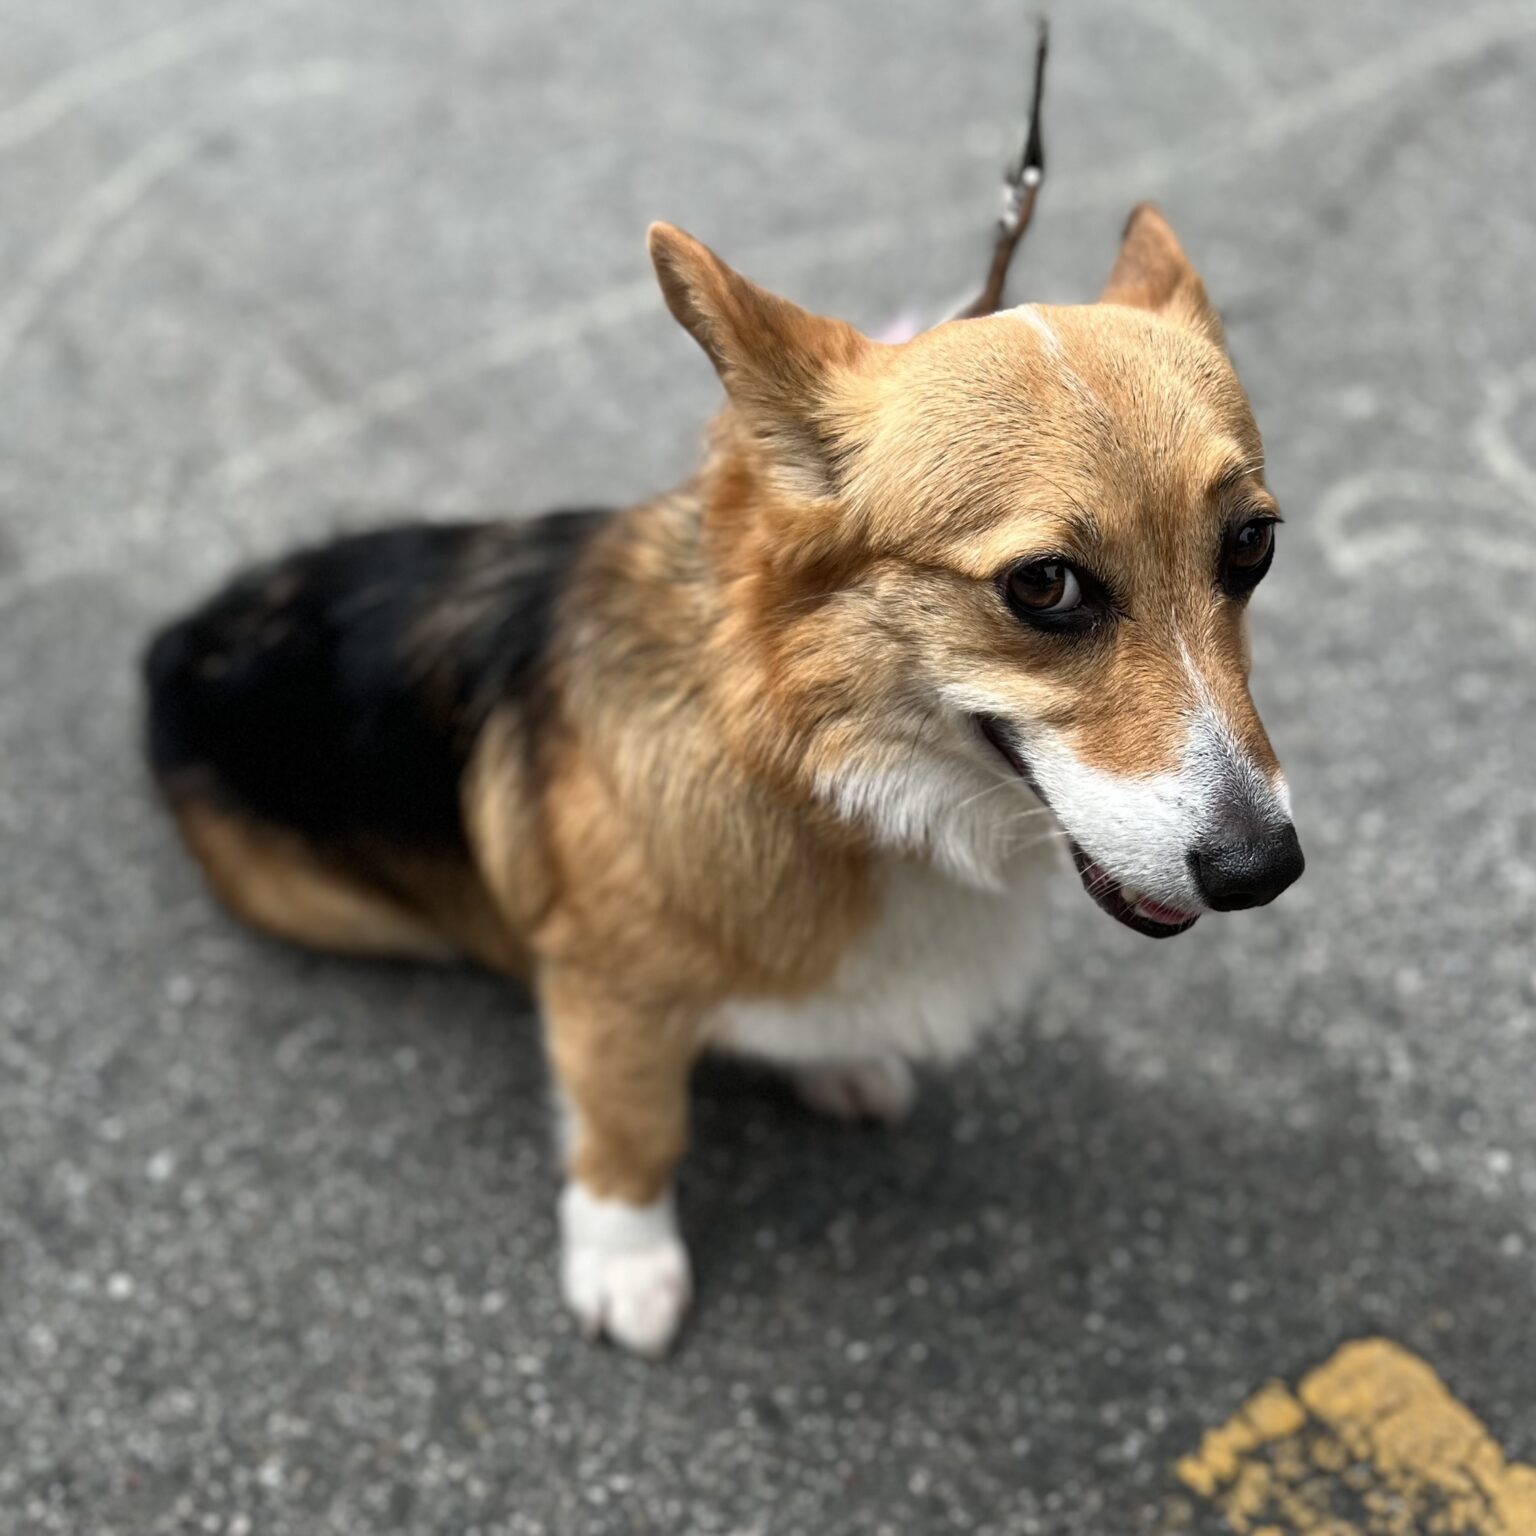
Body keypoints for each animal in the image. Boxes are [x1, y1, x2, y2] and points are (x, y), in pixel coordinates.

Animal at [144, 204, 1302, 1357]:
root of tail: (176, 641)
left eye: (1252, 544)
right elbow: (634, 1124)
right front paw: (626, 1264)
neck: (823, 774)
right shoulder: (609, 990)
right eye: (1043, 585)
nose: (1266, 872)